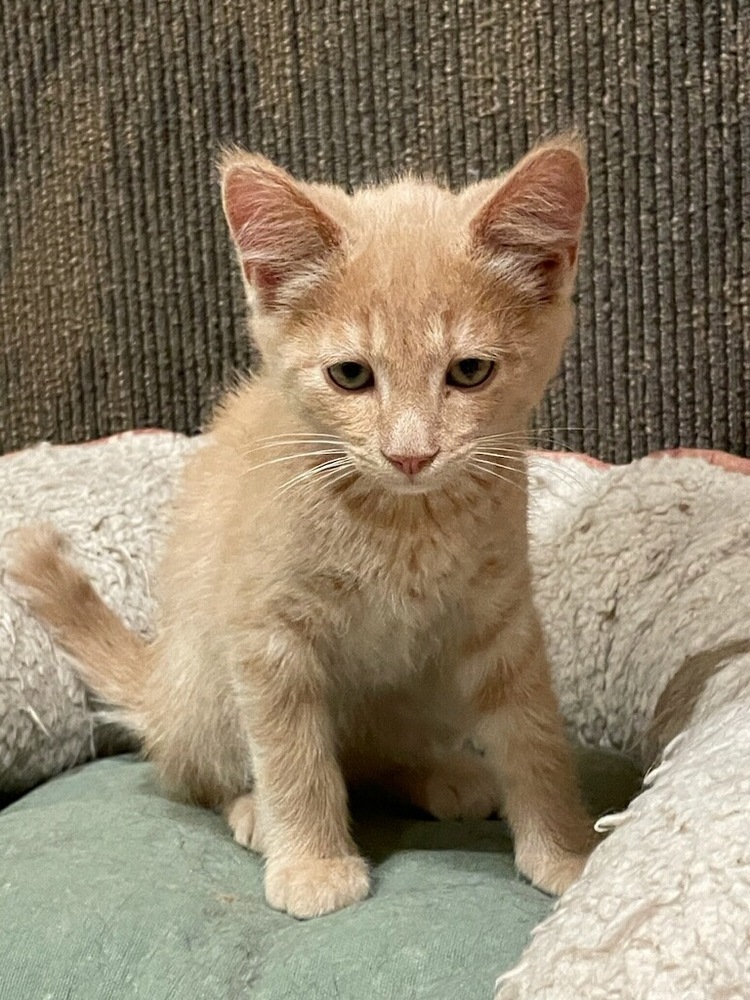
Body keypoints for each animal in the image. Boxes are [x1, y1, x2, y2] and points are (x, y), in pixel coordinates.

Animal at [8, 137, 600, 916]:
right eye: (350, 375)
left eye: (470, 371)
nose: (411, 454)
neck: (401, 521)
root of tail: (159, 688)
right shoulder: (265, 634)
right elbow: (294, 752)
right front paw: (314, 862)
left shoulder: (502, 616)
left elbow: (533, 733)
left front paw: (565, 851)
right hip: (206, 680)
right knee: (201, 772)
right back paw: (253, 809)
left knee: (372, 751)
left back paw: (439, 773)